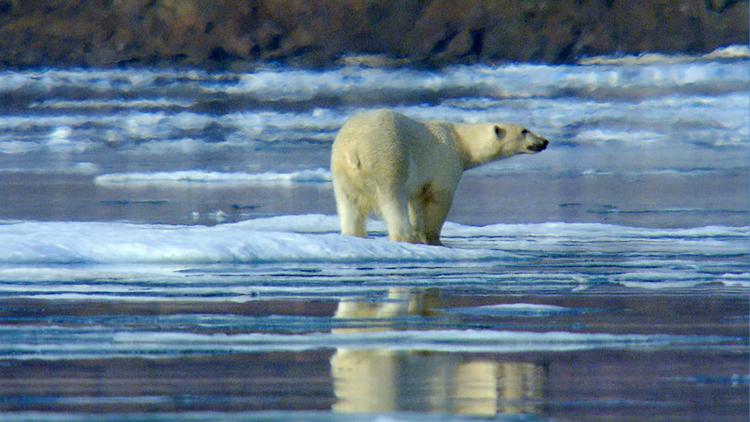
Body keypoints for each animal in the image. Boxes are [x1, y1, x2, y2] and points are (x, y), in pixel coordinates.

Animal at [332, 109, 548, 244]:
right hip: (387, 159)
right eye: (525, 130)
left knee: (348, 205)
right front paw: (431, 237)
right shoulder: (445, 161)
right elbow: (439, 199)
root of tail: (353, 149)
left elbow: (417, 202)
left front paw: (420, 233)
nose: (544, 141)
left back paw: (353, 234)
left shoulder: (421, 179)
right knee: (392, 200)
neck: (460, 141)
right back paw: (404, 237)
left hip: (341, 173)